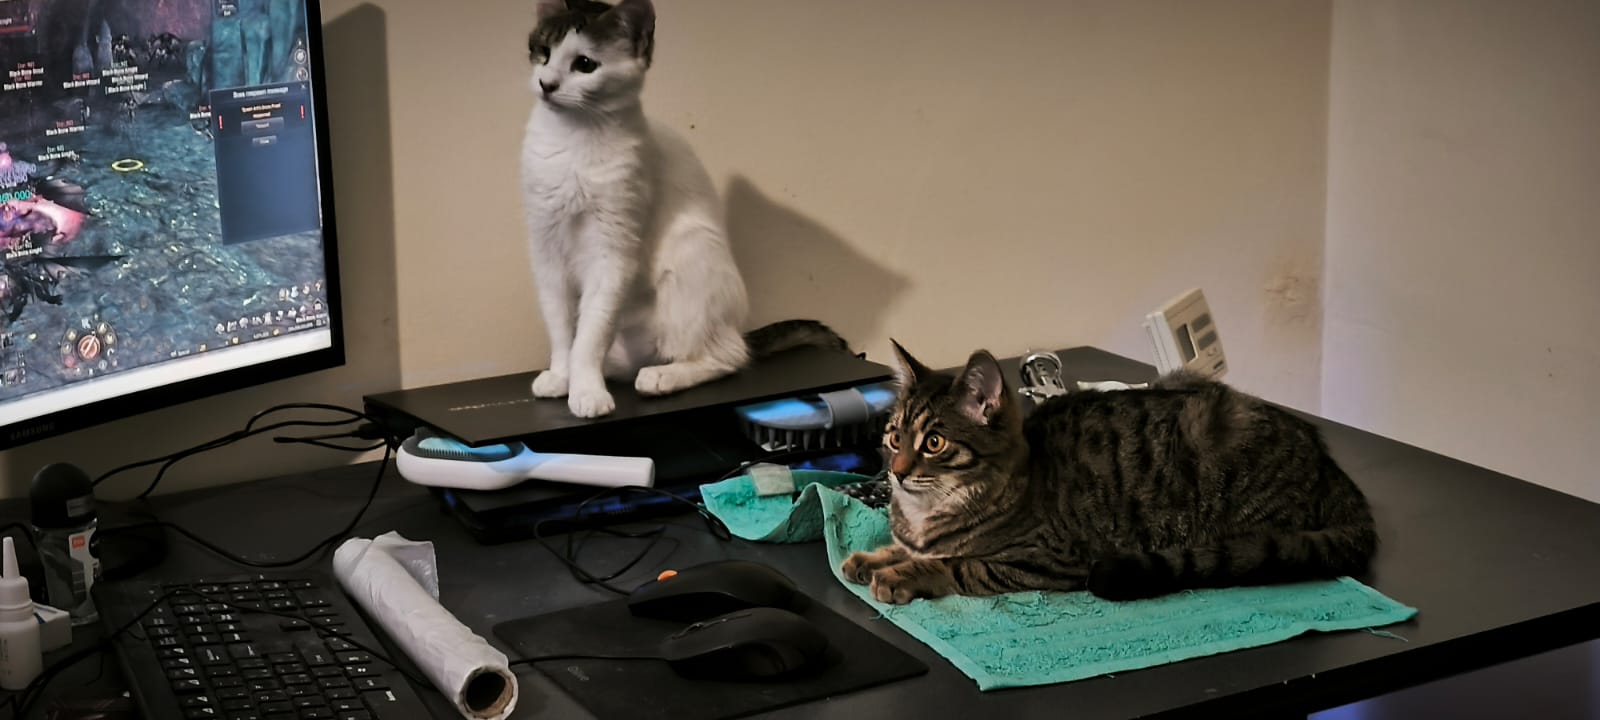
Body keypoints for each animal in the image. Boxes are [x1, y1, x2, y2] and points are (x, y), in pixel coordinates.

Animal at [520, 0, 844, 418]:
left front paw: (588, 390)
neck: (571, 142)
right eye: (543, 52)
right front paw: (563, 376)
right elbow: (562, 329)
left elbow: (591, 333)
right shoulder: (546, 248)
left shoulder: (612, 252)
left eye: (585, 64)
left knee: (728, 356)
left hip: (691, 259)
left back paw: (663, 376)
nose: (547, 84)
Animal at [842, 341, 1378, 604]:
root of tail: (1332, 468)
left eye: (934, 443)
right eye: (893, 436)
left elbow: (956, 564)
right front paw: (873, 557)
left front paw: (902, 574)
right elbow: (905, 547)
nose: (896, 472)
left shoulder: (1045, 559)